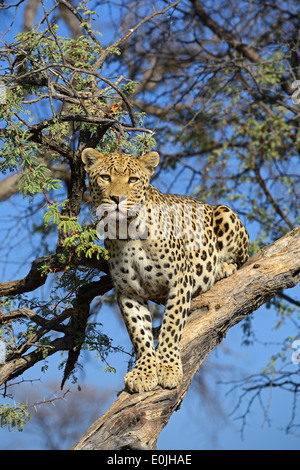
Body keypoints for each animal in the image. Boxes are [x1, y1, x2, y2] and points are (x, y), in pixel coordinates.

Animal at [82, 147, 248, 392]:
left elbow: (172, 324)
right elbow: (139, 332)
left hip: (224, 212)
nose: (117, 199)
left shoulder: (180, 281)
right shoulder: (128, 291)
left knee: (241, 258)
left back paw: (223, 267)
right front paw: (143, 372)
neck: (127, 231)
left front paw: (168, 368)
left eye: (133, 180)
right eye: (105, 177)